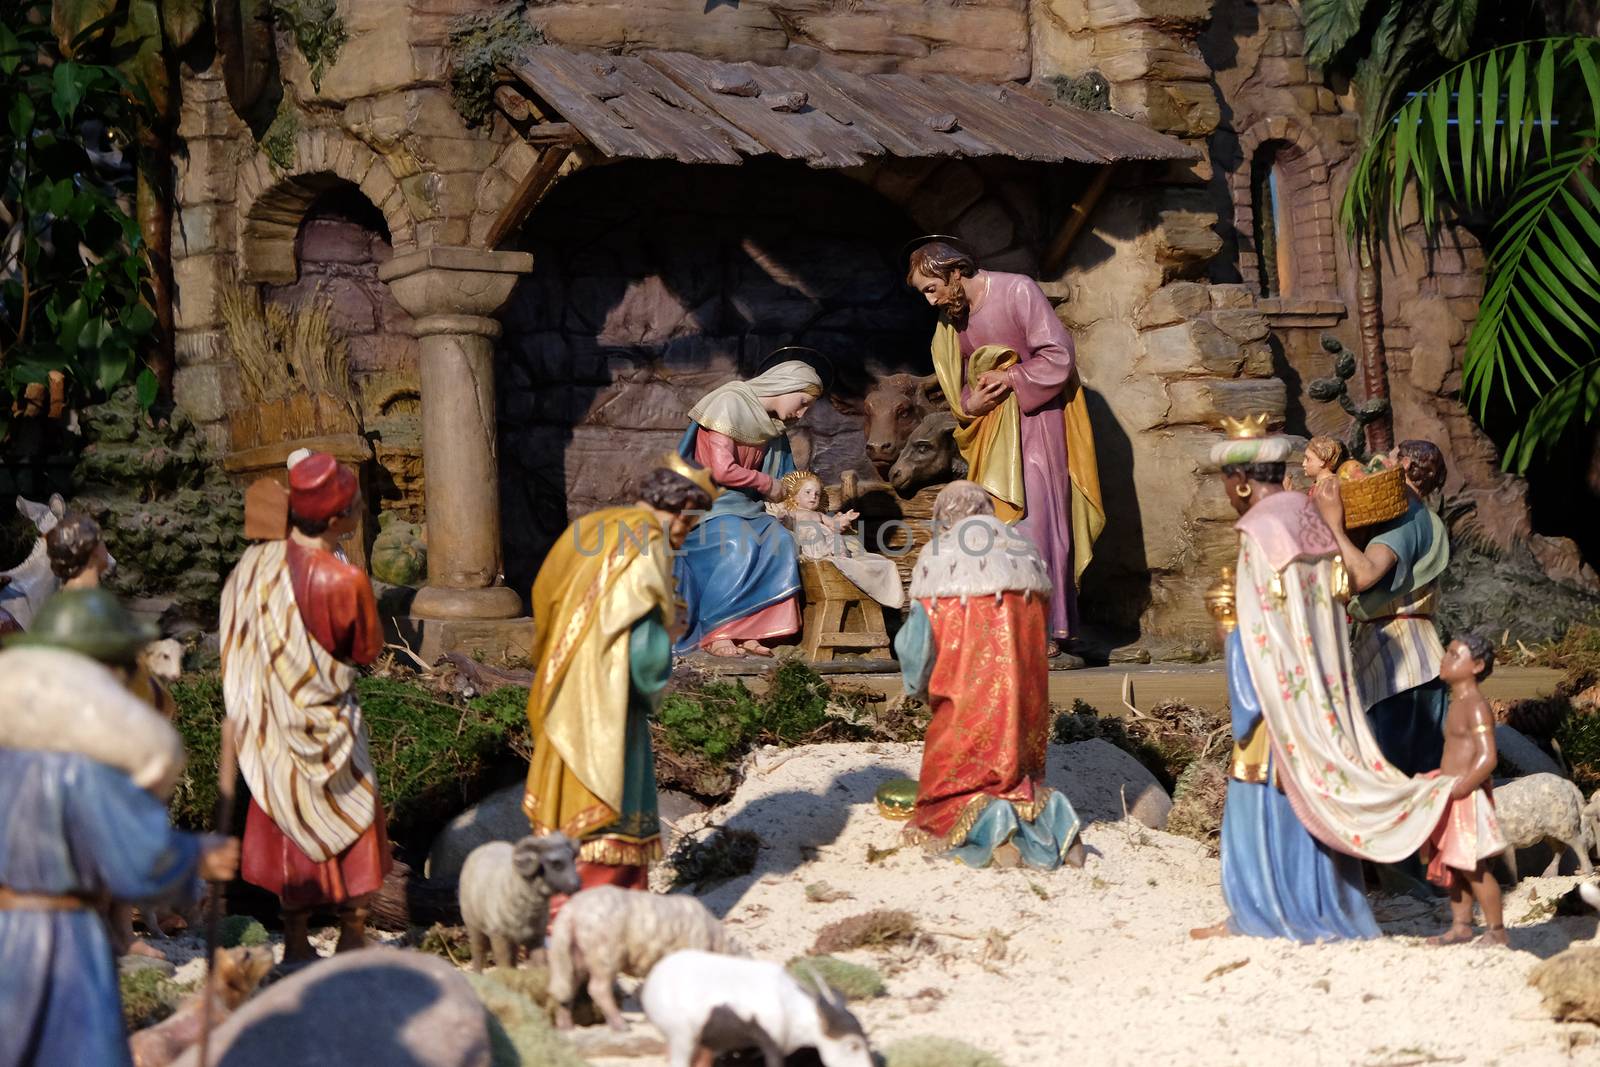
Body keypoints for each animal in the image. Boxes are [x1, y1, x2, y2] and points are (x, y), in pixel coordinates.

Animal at [457, 831, 582, 979]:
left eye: (573, 858)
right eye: (555, 863)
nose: (577, 886)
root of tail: (485, 846)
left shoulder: (536, 937)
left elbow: (539, 963)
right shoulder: (500, 937)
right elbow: (504, 964)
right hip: (474, 926)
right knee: (478, 952)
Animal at [547, 889, 739, 1030]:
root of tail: (571, 910)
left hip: (572, 954)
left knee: (567, 988)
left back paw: (566, 1027)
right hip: (604, 953)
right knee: (598, 989)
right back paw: (620, 1025)